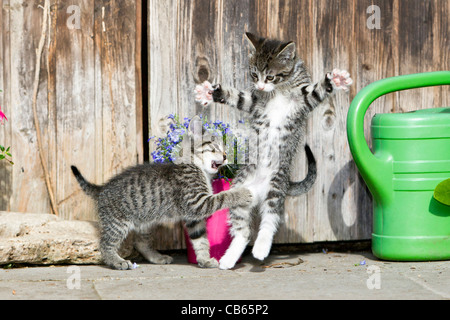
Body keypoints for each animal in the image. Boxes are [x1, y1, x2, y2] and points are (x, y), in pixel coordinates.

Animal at [72, 116, 251, 268]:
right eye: (215, 148)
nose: (226, 156)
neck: (196, 166)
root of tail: (102, 188)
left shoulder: (193, 217)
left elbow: (200, 238)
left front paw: (204, 259)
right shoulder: (196, 203)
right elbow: (222, 197)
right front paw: (242, 193)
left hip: (144, 221)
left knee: (140, 243)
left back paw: (157, 257)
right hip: (117, 223)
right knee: (105, 244)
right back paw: (117, 261)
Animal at [195, 32, 354, 268]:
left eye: (270, 77)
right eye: (254, 74)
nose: (261, 86)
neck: (278, 90)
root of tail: (260, 191)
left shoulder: (303, 99)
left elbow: (317, 91)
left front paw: (336, 80)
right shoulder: (254, 101)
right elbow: (238, 97)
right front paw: (210, 92)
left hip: (276, 185)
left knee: (270, 218)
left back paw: (261, 247)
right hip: (240, 190)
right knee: (243, 231)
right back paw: (230, 258)